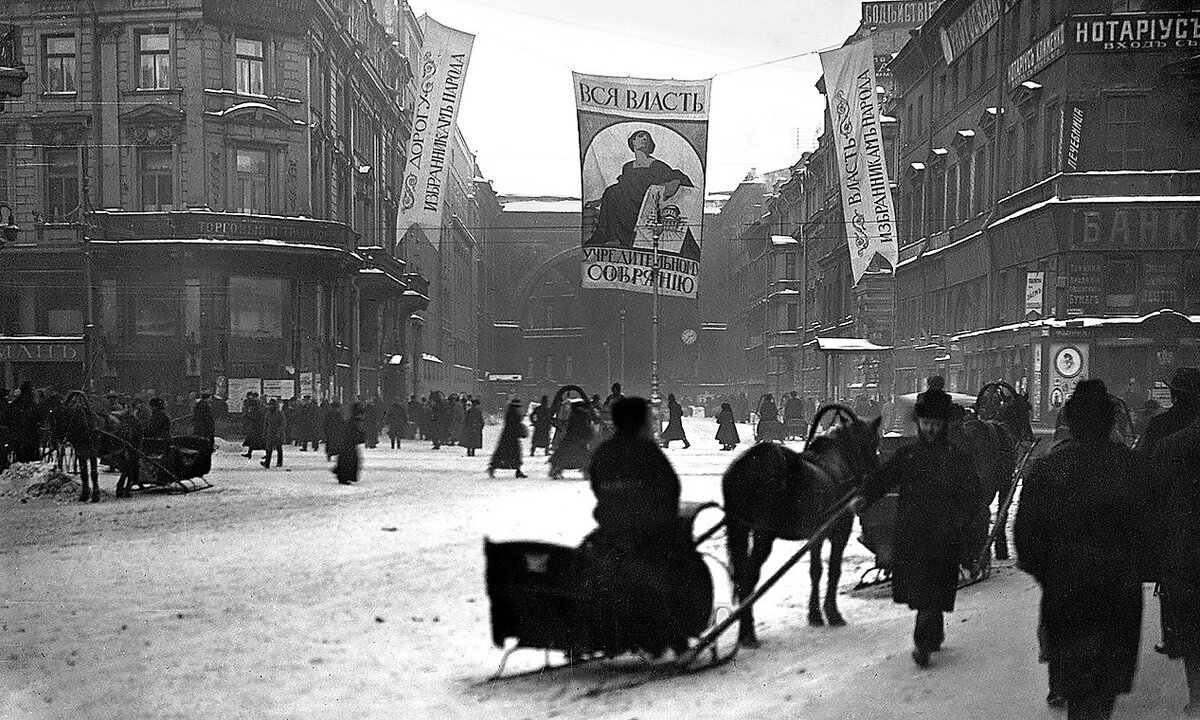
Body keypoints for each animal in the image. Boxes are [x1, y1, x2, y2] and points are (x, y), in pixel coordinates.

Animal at [720, 405, 883, 648]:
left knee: (741, 575)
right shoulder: (840, 531)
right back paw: (749, 634)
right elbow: (834, 569)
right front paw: (833, 614)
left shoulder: (815, 535)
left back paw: (743, 631)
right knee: (749, 577)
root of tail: (746, 466)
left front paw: (815, 615)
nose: (876, 474)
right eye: (873, 442)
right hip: (763, 534)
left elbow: (815, 570)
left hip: (739, 529)